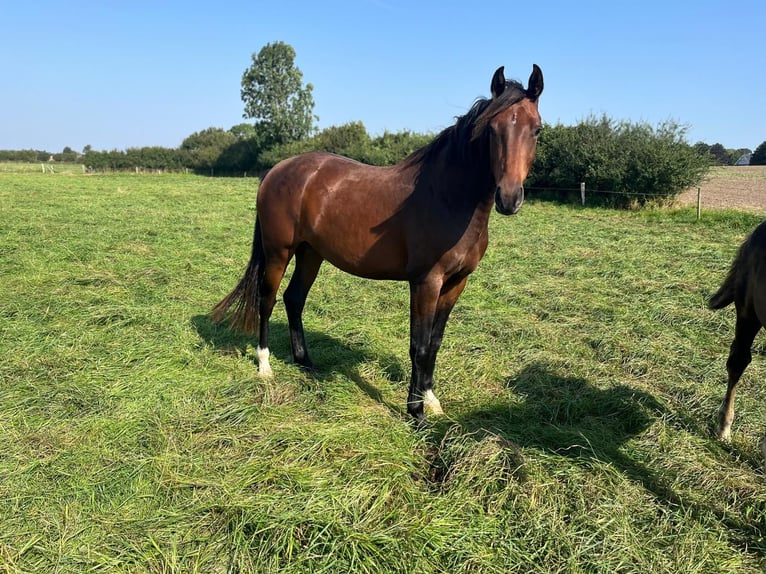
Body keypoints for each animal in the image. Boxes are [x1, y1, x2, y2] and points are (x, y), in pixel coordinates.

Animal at [212, 64, 544, 421]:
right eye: (492, 129)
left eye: (537, 130)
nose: (509, 198)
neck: (448, 197)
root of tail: (277, 169)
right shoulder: (426, 282)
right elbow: (419, 345)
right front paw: (416, 413)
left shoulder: (457, 283)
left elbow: (435, 343)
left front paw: (432, 401)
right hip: (279, 252)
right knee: (267, 300)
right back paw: (264, 367)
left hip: (311, 253)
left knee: (294, 299)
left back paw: (306, 363)